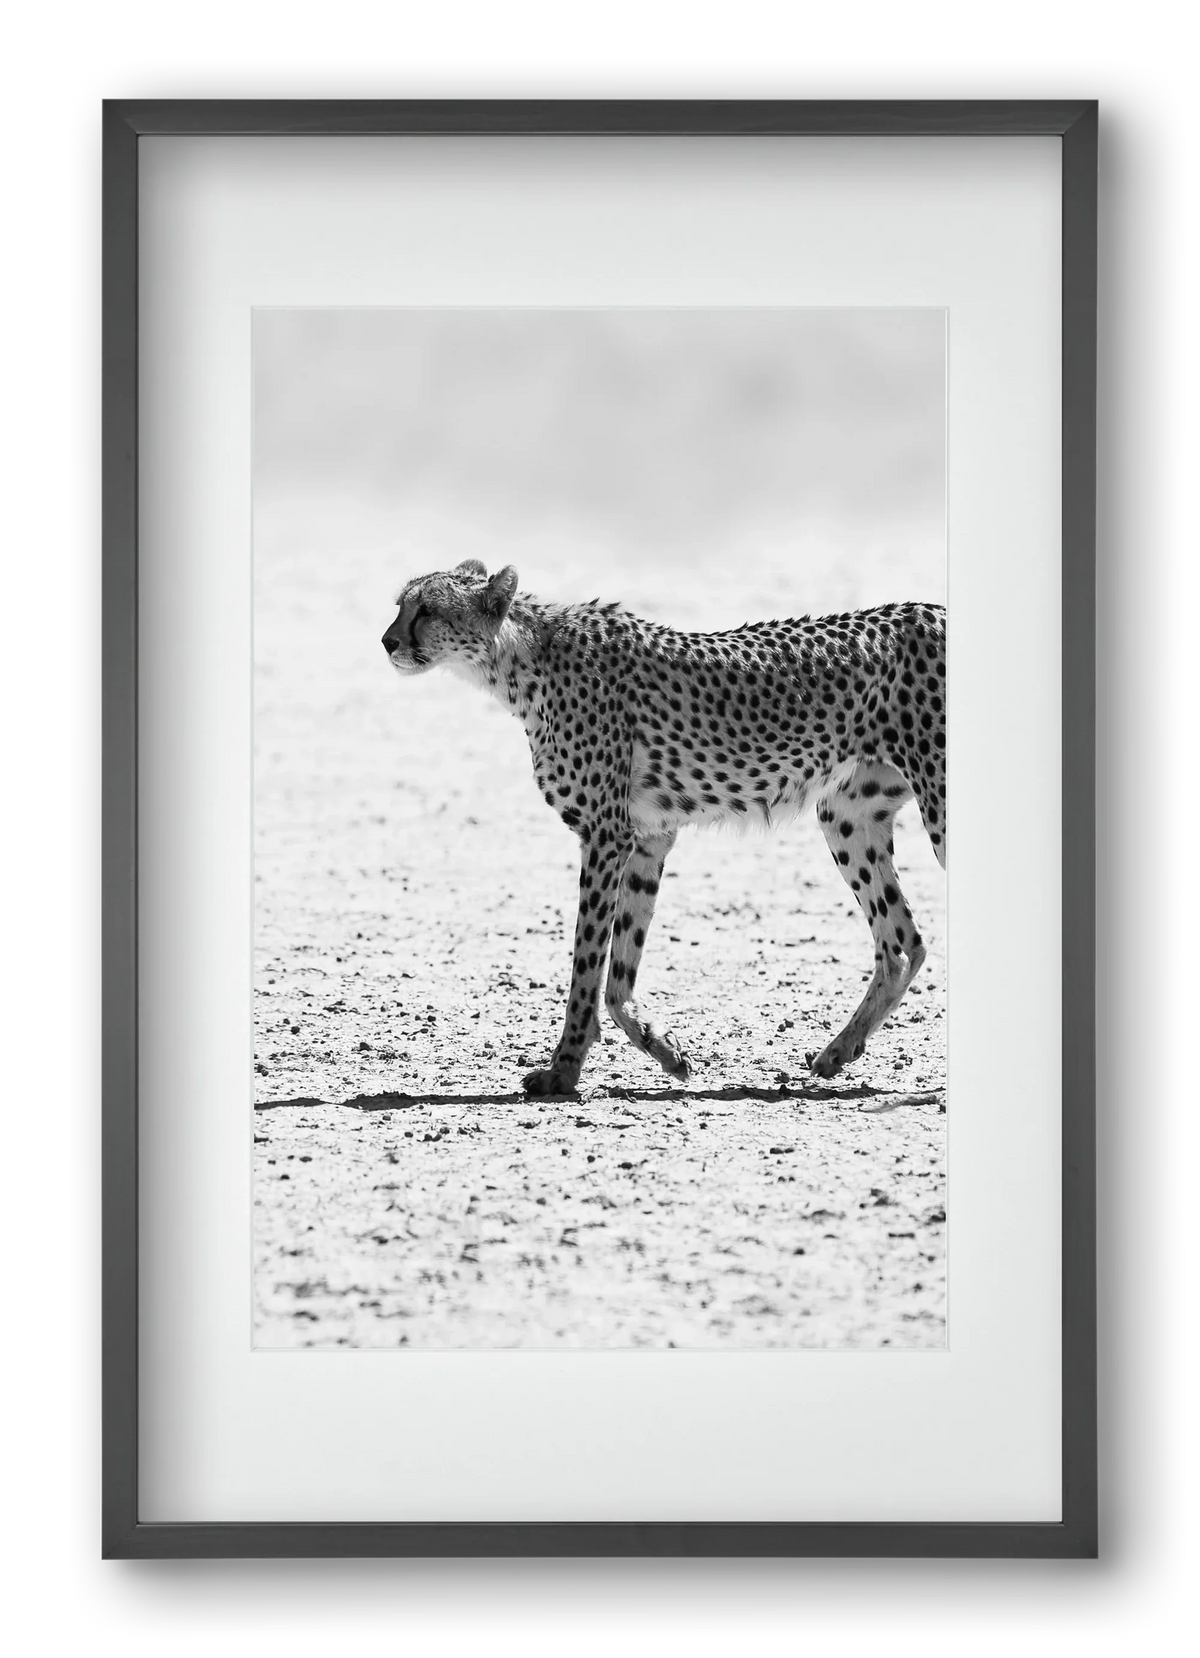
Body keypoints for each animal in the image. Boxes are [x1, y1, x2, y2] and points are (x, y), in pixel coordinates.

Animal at [383, 559, 946, 1097]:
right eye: (400, 605)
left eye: (427, 609)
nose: (387, 641)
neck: (519, 660)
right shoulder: (648, 837)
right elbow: (618, 972)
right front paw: (665, 1050)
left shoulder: (606, 835)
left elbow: (587, 963)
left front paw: (563, 1071)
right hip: (847, 816)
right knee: (902, 943)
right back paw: (837, 1052)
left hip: (936, 805)